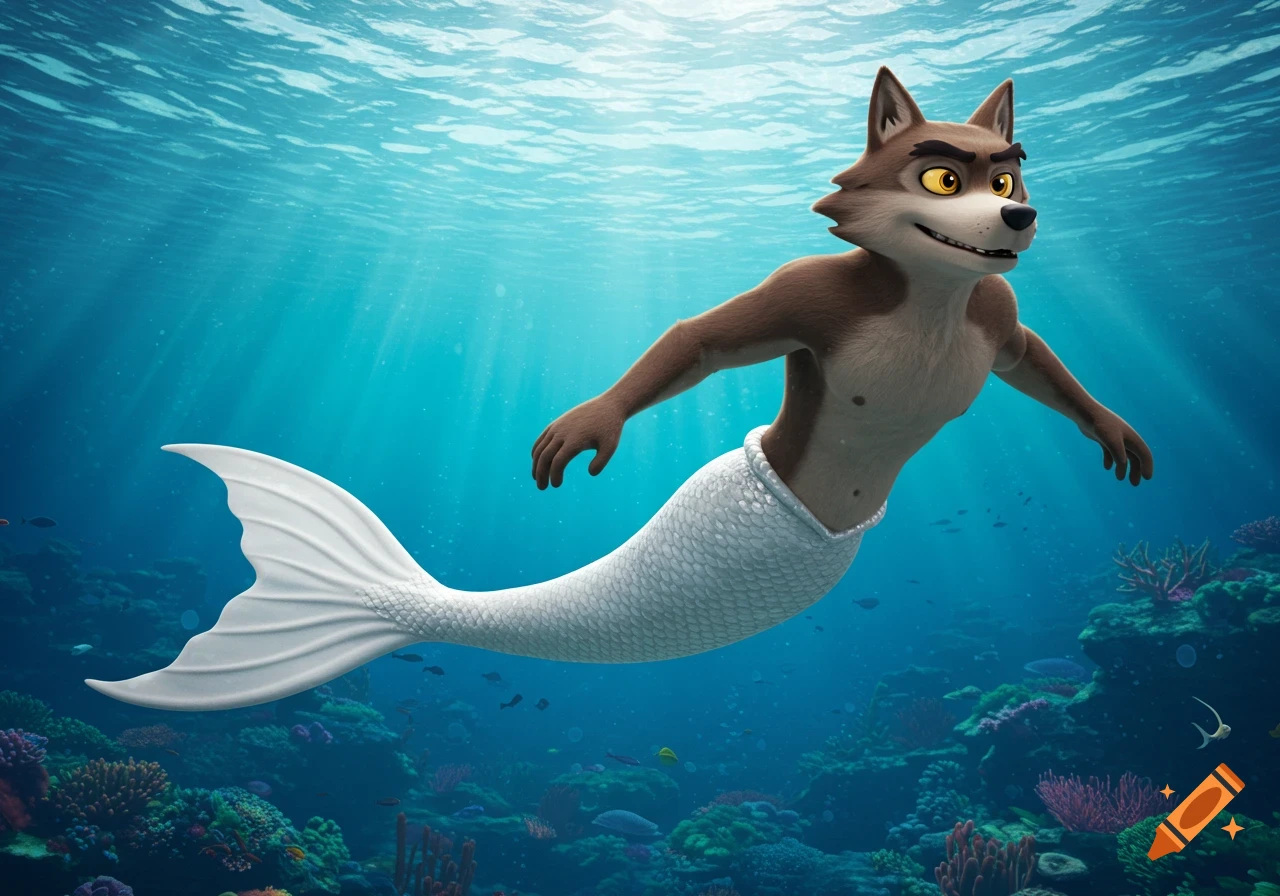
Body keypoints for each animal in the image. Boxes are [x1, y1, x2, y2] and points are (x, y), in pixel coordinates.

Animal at [88, 68, 1152, 711]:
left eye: (1009, 174)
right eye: (940, 177)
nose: (1018, 216)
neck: (927, 293)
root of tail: (402, 603)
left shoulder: (996, 310)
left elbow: (1032, 358)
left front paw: (1115, 432)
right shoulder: (813, 295)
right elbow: (701, 338)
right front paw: (588, 425)